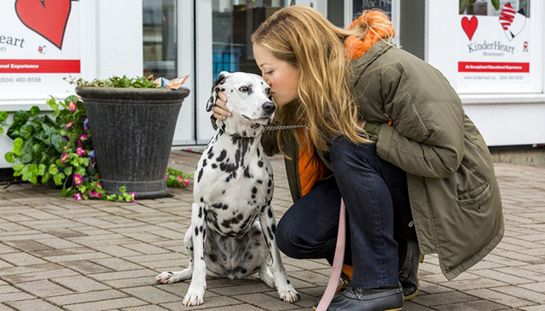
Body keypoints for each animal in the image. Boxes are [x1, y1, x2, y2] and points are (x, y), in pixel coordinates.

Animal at [155, 71, 300, 308]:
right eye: (245, 89)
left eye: (268, 91)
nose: (270, 107)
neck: (239, 151)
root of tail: (231, 270)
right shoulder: (199, 209)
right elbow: (199, 264)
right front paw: (195, 291)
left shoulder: (267, 212)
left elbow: (277, 258)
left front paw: (286, 287)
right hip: (190, 233)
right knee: (192, 265)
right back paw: (174, 275)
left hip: (258, 229)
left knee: (263, 267)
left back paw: (270, 280)